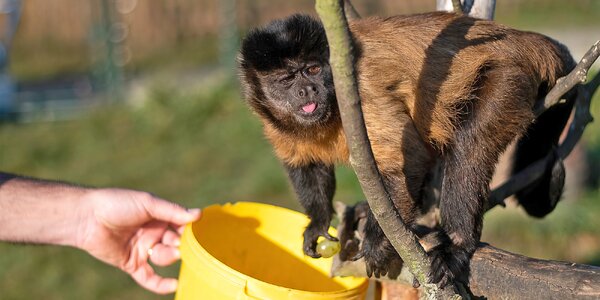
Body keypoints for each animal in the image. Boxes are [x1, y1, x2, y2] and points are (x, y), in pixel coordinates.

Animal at [237, 12, 576, 286]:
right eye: (286, 79)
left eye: (312, 70)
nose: (307, 90)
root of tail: (520, 38)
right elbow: (305, 164)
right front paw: (319, 222)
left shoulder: (358, 92)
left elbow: (409, 156)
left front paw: (378, 241)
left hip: (509, 76)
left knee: (469, 145)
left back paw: (455, 245)